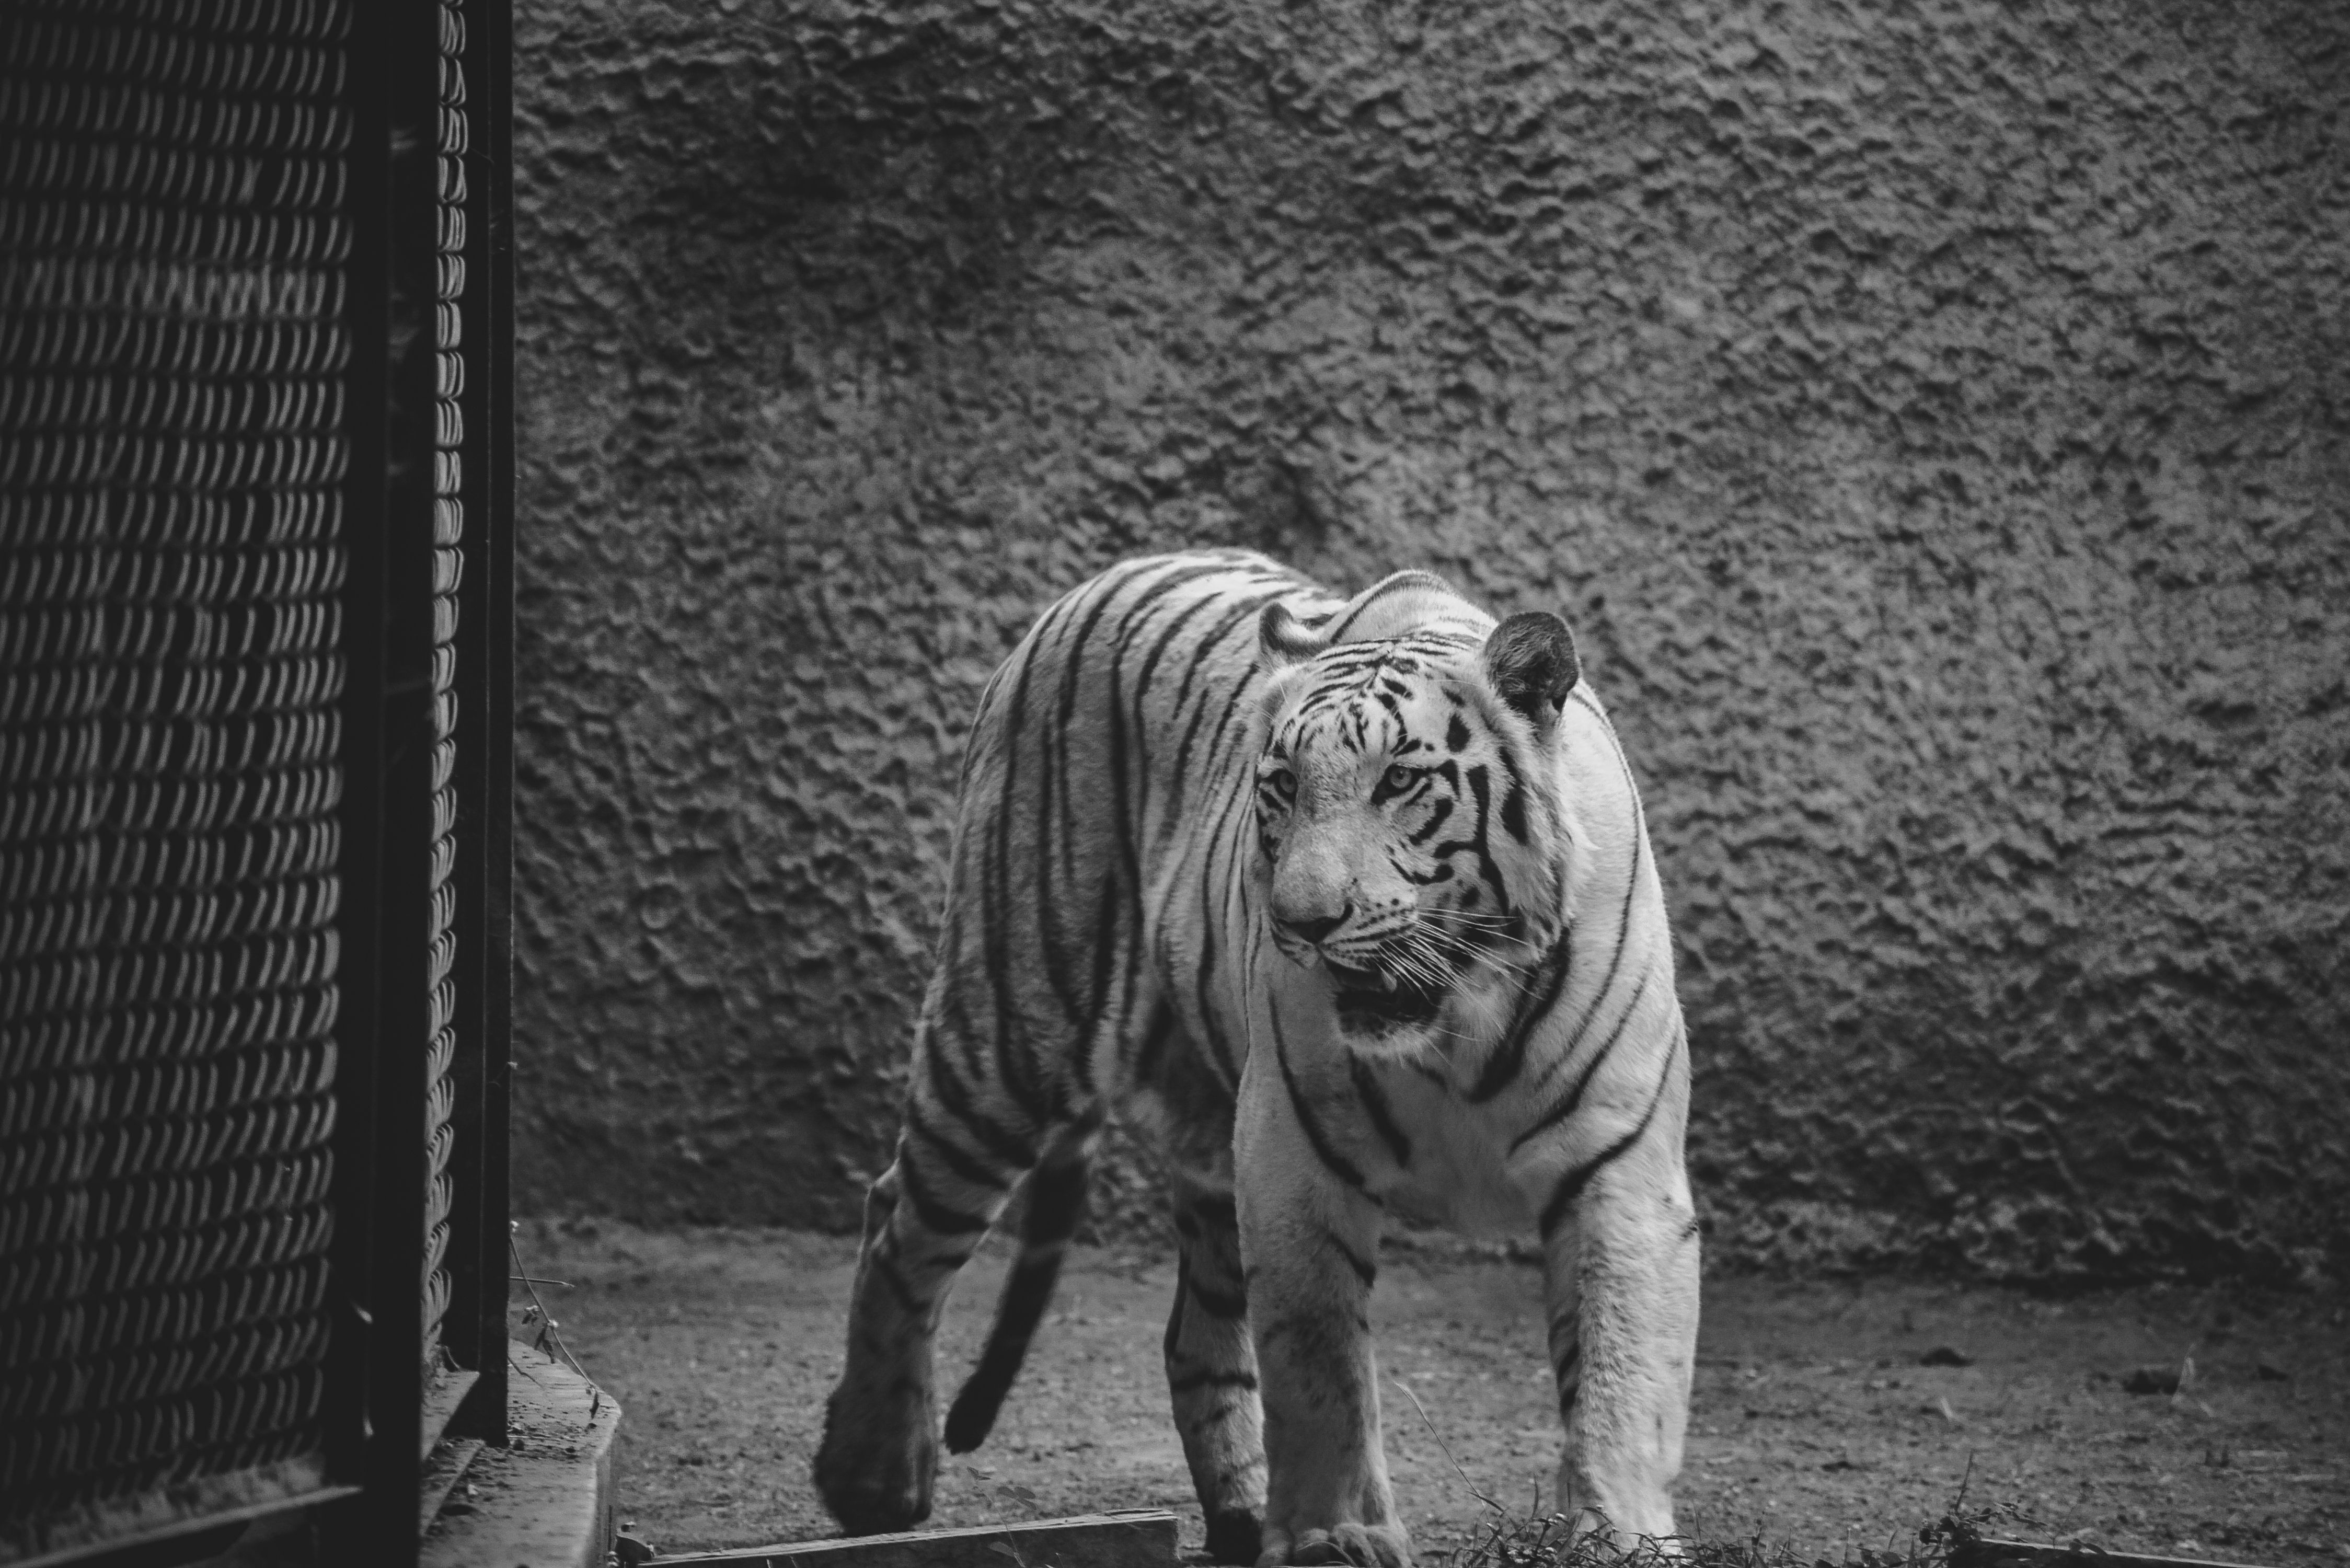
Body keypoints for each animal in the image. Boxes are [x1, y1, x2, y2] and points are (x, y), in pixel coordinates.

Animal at [813, 549, 1698, 1568]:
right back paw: (873, 1478)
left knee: (1190, 1337)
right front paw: (1335, 1537)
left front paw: (1616, 1535)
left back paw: (1235, 1512)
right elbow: (1318, 1363)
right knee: (898, 1221)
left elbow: (1622, 1370)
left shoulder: (1617, 1166)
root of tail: (1109, 573)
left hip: (1196, 1130)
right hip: (1009, 1030)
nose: (1302, 923)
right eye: (1279, 786)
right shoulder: (1294, 1151)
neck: (1455, 1012)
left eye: (1400, 782)